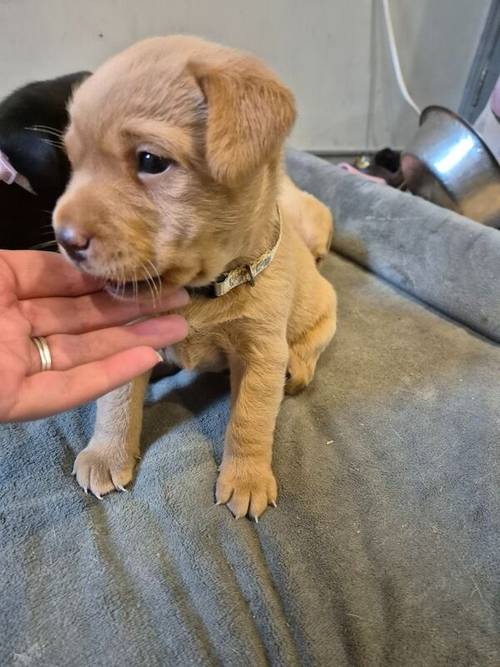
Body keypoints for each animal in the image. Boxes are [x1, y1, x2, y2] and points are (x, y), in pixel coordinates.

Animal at [53, 35, 336, 520]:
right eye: (73, 161)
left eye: (150, 160)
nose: (64, 239)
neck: (198, 293)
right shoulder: (131, 332)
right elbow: (116, 403)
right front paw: (106, 454)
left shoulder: (261, 353)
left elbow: (249, 420)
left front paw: (247, 478)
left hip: (324, 309)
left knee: (312, 342)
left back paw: (298, 367)